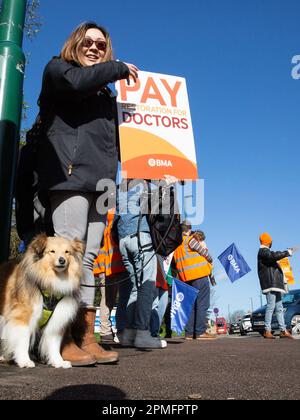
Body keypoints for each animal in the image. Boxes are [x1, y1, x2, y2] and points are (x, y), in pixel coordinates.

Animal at [0, 235, 84, 370]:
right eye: (52, 251)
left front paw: (58, 361)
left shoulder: (56, 318)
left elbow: (54, 343)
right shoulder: (23, 316)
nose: (62, 260)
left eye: (67, 252)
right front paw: (24, 361)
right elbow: (23, 340)